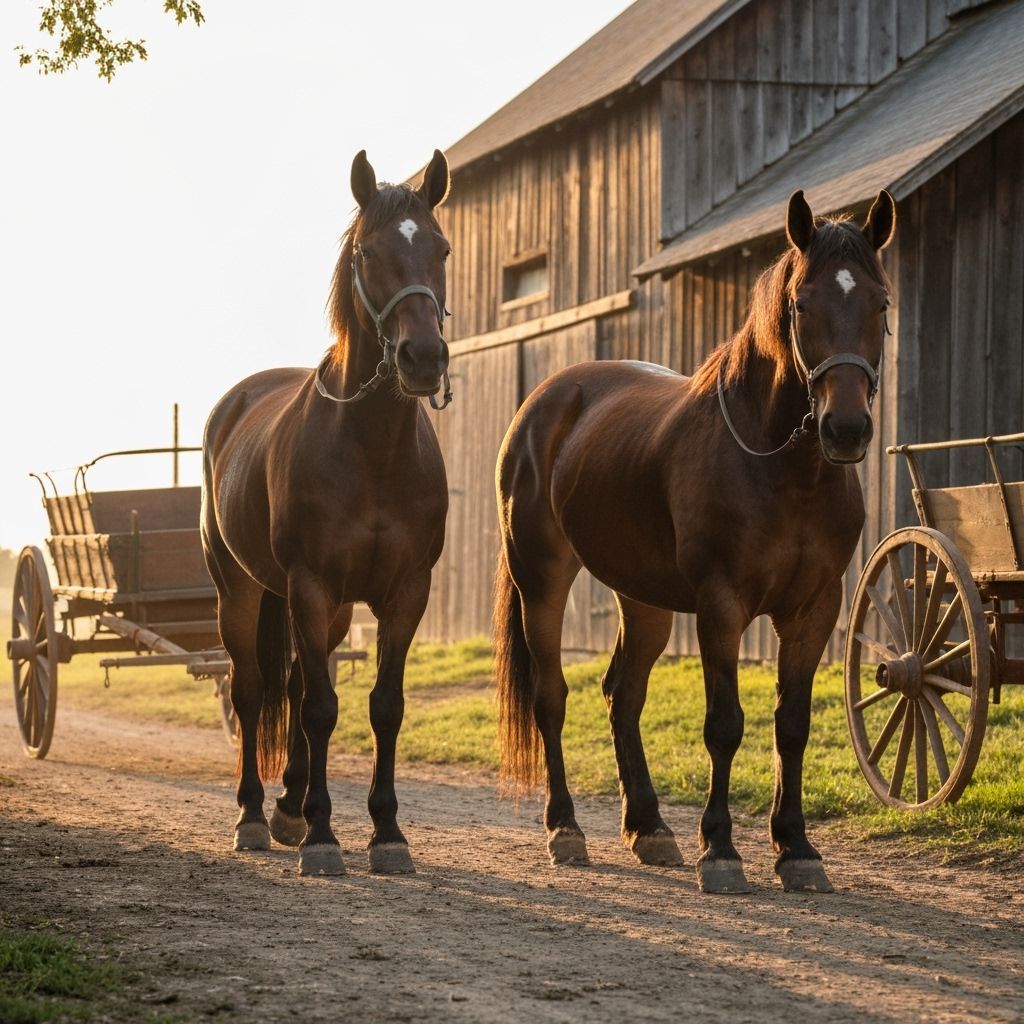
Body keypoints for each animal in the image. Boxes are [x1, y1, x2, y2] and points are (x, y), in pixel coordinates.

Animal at [201, 149, 452, 876]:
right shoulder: (309, 586)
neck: (372, 451)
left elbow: (383, 706)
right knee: (252, 688)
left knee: (287, 681)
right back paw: (255, 817)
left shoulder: (404, 592)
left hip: (330, 608)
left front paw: (387, 833)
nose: (423, 359)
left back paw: (286, 807)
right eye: (368, 252)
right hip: (241, 590)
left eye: (442, 248)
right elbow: (317, 708)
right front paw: (322, 836)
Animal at [494, 189, 896, 893]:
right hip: (540, 581)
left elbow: (791, 726)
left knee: (622, 696)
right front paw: (722, 850)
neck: (785, 471)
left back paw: (649, 828)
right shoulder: (721, 606)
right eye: (802, 304)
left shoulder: (814, 610)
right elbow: (725, 725)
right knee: (552, 697)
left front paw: (797, 848)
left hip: (644, 599)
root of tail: (543, 402)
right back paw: (565, 828)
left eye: (880, 304)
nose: (845, 429)